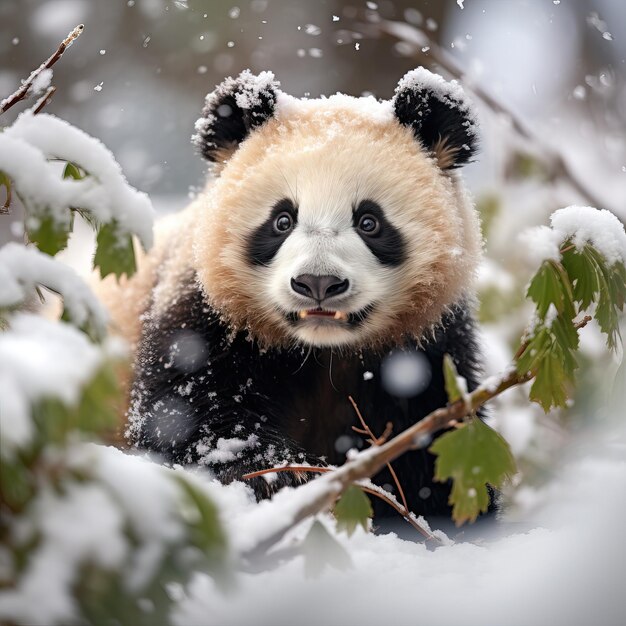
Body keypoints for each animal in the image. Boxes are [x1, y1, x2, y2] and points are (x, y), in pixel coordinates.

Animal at [98, 66, 488, 524]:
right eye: (282, 220)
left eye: (370, 222)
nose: (318, 283)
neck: (322, 352)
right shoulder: (203, 314)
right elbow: (187, 417)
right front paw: (284, 477)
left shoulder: (426, 344)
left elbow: (439, 442)